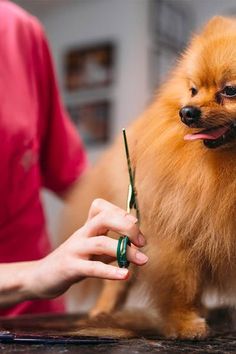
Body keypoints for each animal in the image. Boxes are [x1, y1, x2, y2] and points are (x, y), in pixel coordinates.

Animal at [60, 17, 236, 340]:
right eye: (194, 90)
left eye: (229, 90)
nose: (186, 112)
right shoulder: (178, 234)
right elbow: (182, 284)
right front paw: (184, 324)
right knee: (118, 280)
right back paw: (101, 312)